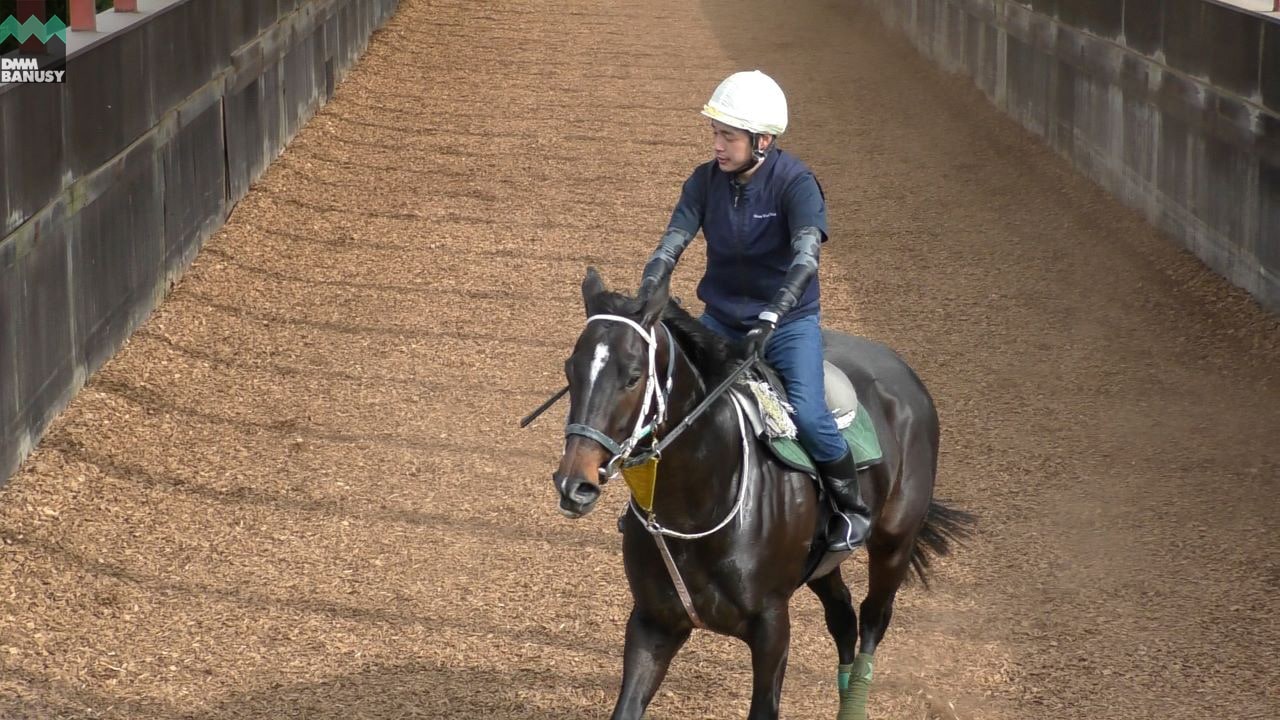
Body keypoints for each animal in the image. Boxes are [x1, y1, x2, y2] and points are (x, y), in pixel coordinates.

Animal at [550, 269, 967, 717]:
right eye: (571, 370)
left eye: (632, 376)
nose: (574, 483)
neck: (697, 504)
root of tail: (904, 374)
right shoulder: (654, 622)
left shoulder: (771, 626)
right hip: (823, 563)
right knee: (842, 615)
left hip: (894, 543)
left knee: (874, 616)